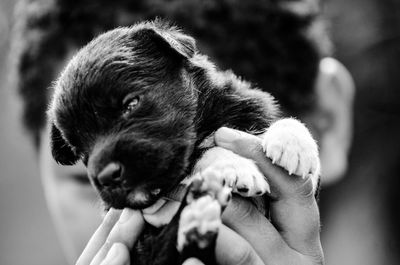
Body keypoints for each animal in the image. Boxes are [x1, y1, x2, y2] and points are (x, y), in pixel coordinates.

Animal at [48, 20, 320, 264]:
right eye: (79, 149)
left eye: (131, 104)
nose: (106, 176)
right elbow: (200, 154)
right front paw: (234, 167)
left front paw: (294, 144)